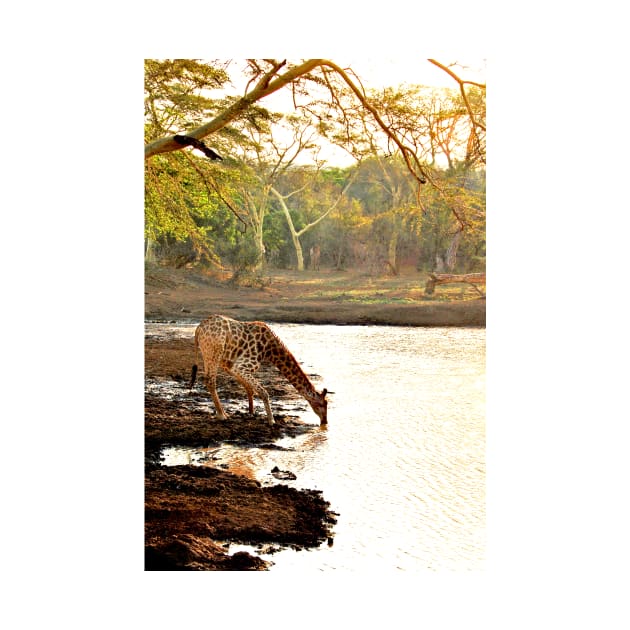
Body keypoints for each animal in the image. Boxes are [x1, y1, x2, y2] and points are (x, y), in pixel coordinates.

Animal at [189, 314, 330, 428]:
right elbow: (263, 392)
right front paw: (271, 420)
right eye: (322, 405)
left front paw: (251, 412)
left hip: (209, 354)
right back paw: (222, 415)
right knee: (210, 380)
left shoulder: (230, 365)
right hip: (214, 352)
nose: (325, 422)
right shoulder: (240, 366)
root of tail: (199, 328)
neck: (271, 351)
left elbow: (250, 388)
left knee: (208, 380)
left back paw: (223, 413)